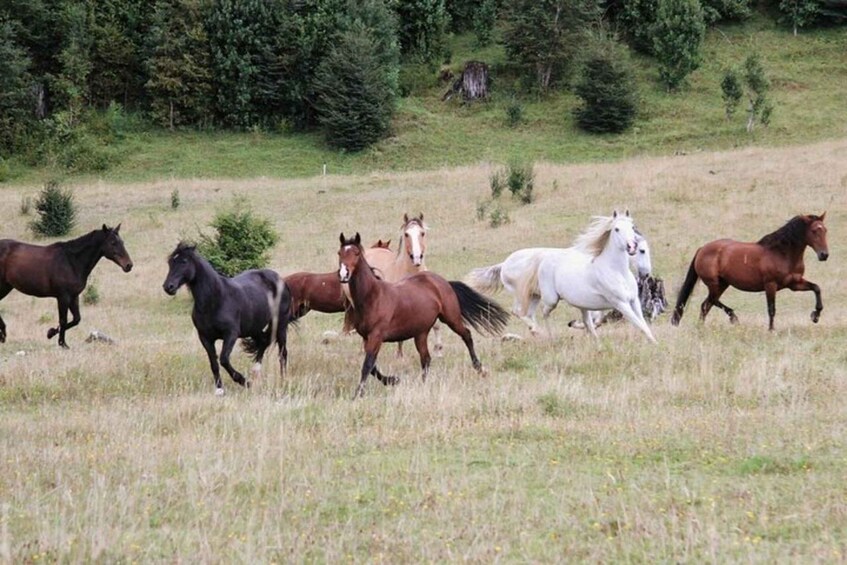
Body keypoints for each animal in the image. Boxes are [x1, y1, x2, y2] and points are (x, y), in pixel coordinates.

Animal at [0, 223, 133, 346]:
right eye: (112, 243)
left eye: (122, 242)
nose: (129, 265)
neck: (71, 261)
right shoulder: (63, 297)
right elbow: (63, 320)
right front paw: (62, 343)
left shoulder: (74, 296)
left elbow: (76, 319)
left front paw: (51, 332)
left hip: (6, 286)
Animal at [163, 241, 294, 392]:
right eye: (170, 262)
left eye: (184, 261)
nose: (168, 287)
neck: (216, 299)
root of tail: (280, 280)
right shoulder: (205, 337)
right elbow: (213, 363)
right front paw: (220, 389)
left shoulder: (231, 334)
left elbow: (224, 359)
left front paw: (244, 382)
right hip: (253, 328)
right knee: (263, 342)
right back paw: (255, 373)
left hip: (280, 323)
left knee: (282, 352)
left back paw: (282, 380)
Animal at [338, 231, 510, 398]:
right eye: (340, 253)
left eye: (356, 253)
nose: (343, 274)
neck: (372, 297)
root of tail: (443, 282)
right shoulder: (366, 338)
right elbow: (372, 366)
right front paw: (393, 380)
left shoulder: (376, 336)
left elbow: (367, 365)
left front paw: (358, 394)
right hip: (421, 332)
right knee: (426, 358)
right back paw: (423, 384)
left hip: (451, 318)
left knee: (466, 335)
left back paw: (479, 368)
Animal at [464, 223, 656, 332]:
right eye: (642, 251)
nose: (646, 273)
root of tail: (504, 264)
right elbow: (595, 317)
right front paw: (577, 324)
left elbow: (597, 317)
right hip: (523, 294)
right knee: (517, 311)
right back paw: (537, 330)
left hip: (535, 296)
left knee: (528, 313)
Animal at [672, 213, 832, 330]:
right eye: (814, 231)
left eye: (825, 230)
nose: (824, 255)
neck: (782, 253)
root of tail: (702, 249)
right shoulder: (770, 285)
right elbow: (771, 308)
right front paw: (771, 330)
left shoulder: (794, 284)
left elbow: (816, 288)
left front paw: (815, 315)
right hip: (714, 284)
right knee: (709, 302)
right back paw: (731, 318)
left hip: (723, 284)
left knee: (707, 304)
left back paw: (702, 327)